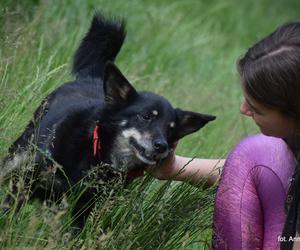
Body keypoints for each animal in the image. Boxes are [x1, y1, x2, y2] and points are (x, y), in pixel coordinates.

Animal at [1, 13, 214, 225]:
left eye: (170, 130)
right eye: (145, 116)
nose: (162, 146)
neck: (98, 154)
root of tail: (92, 77)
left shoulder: (84, 206)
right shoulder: (26, 181)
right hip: (19, 154)